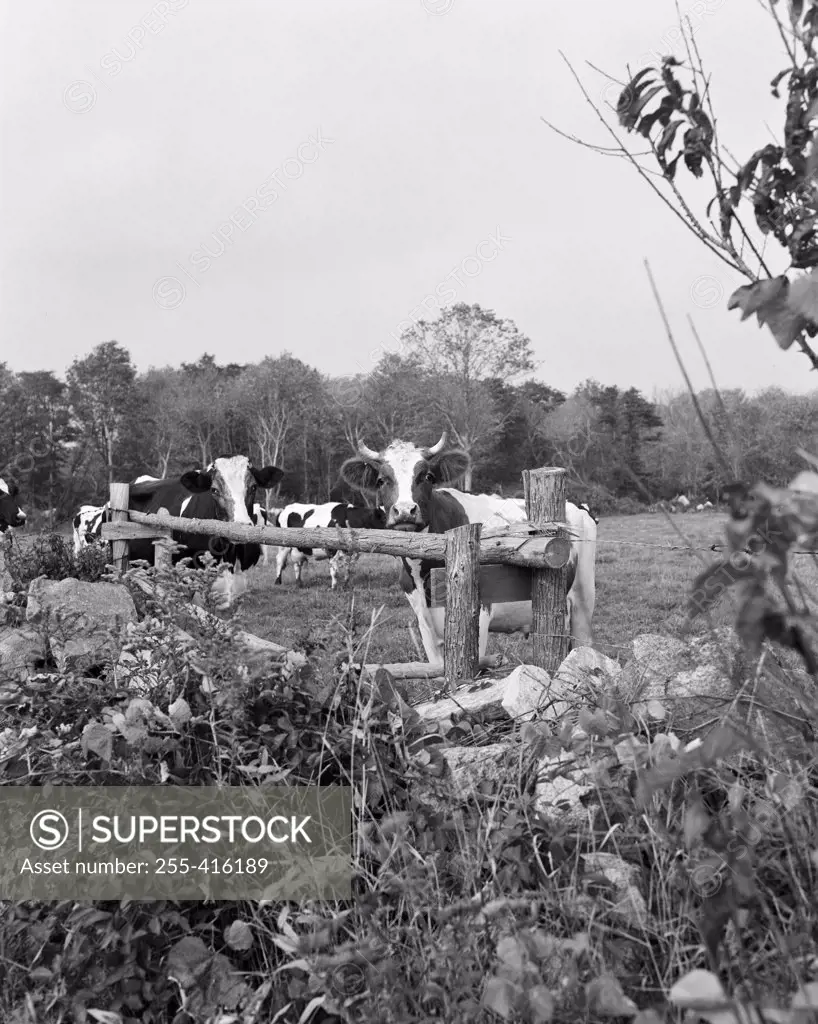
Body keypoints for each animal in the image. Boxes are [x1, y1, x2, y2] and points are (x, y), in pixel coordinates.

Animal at [335, 430, 597, 663]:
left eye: (427, 477)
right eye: (382, 480)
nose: (405, 511)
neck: (423, 571)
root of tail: (578, 505)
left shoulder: (480, 614)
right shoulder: (423, 622)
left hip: (583, 600)